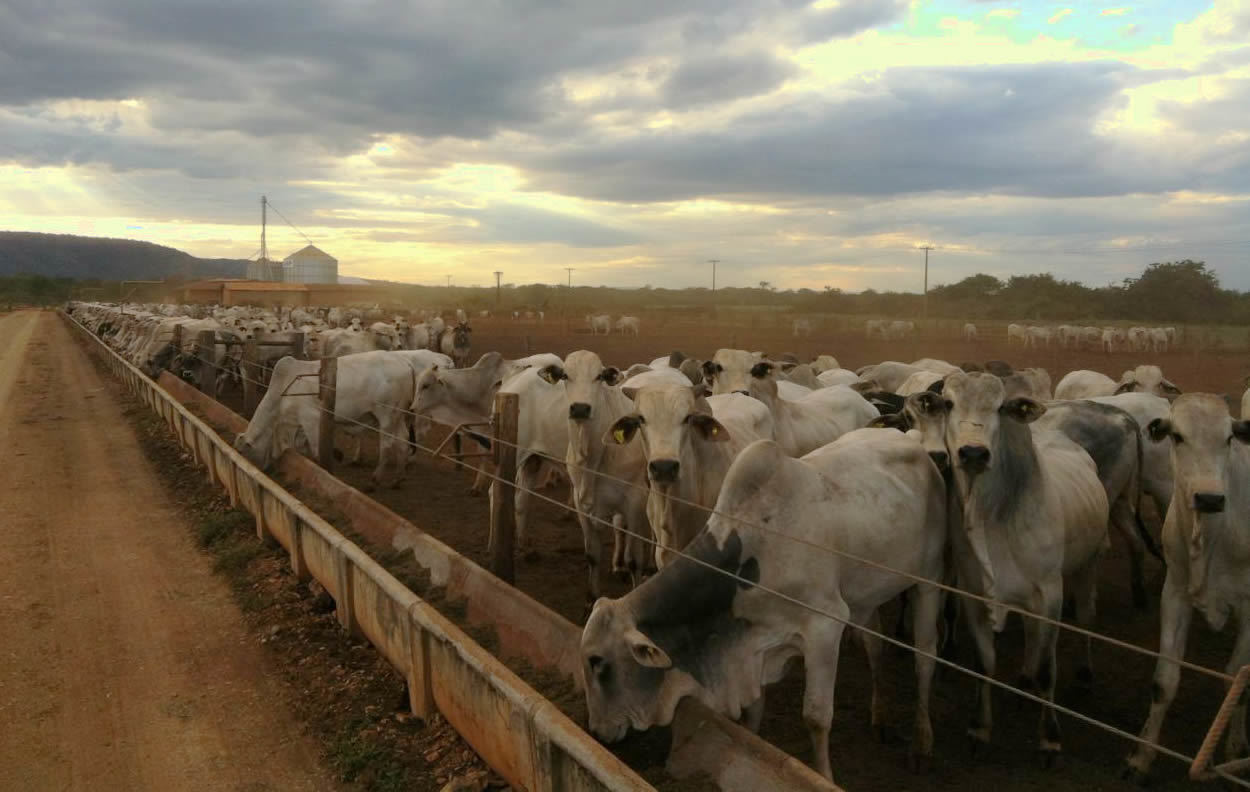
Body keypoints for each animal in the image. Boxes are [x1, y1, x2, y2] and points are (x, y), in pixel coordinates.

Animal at [537, 352, 655, 597]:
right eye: (565, 375)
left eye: (599, 376)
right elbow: (592, 555)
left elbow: (634, 560)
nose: (580, 408)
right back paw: (617, 565)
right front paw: (592, 597)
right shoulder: (581, 504)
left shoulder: (635, 500)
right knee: (620, 528)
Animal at [577, 424, 945, 779]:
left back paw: (922, 744)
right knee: (874, 649)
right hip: (867, 595)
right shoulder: (758, 645)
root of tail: (910, 437)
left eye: (597, 661)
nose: (596, 731)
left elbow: (816, 717)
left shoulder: (825, 626)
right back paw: (879, 717)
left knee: (925, 659)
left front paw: (824, 776)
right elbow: (753, 712)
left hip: (928, 583)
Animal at [935, 372, 1110, 754]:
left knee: (1085, 619)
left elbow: (1047, 668)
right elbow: (984, 663)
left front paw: (1050, 737)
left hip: (1086, 566)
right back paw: (1024, 679)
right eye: (949, 403)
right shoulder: (973, 594)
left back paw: (1085, 672)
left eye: (1001, 407)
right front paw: (979, 727)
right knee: (1032, 635)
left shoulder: (1051, 594)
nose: (973, 452)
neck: (993, 516)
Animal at [1130, 392, 1250, 774]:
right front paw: (1142, 756)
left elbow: (1237, 680)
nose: (1209, 498)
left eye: (1228, 438)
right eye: (1177, 436)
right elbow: (1164, 681)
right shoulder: (1176, 592)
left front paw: (1236, 747)